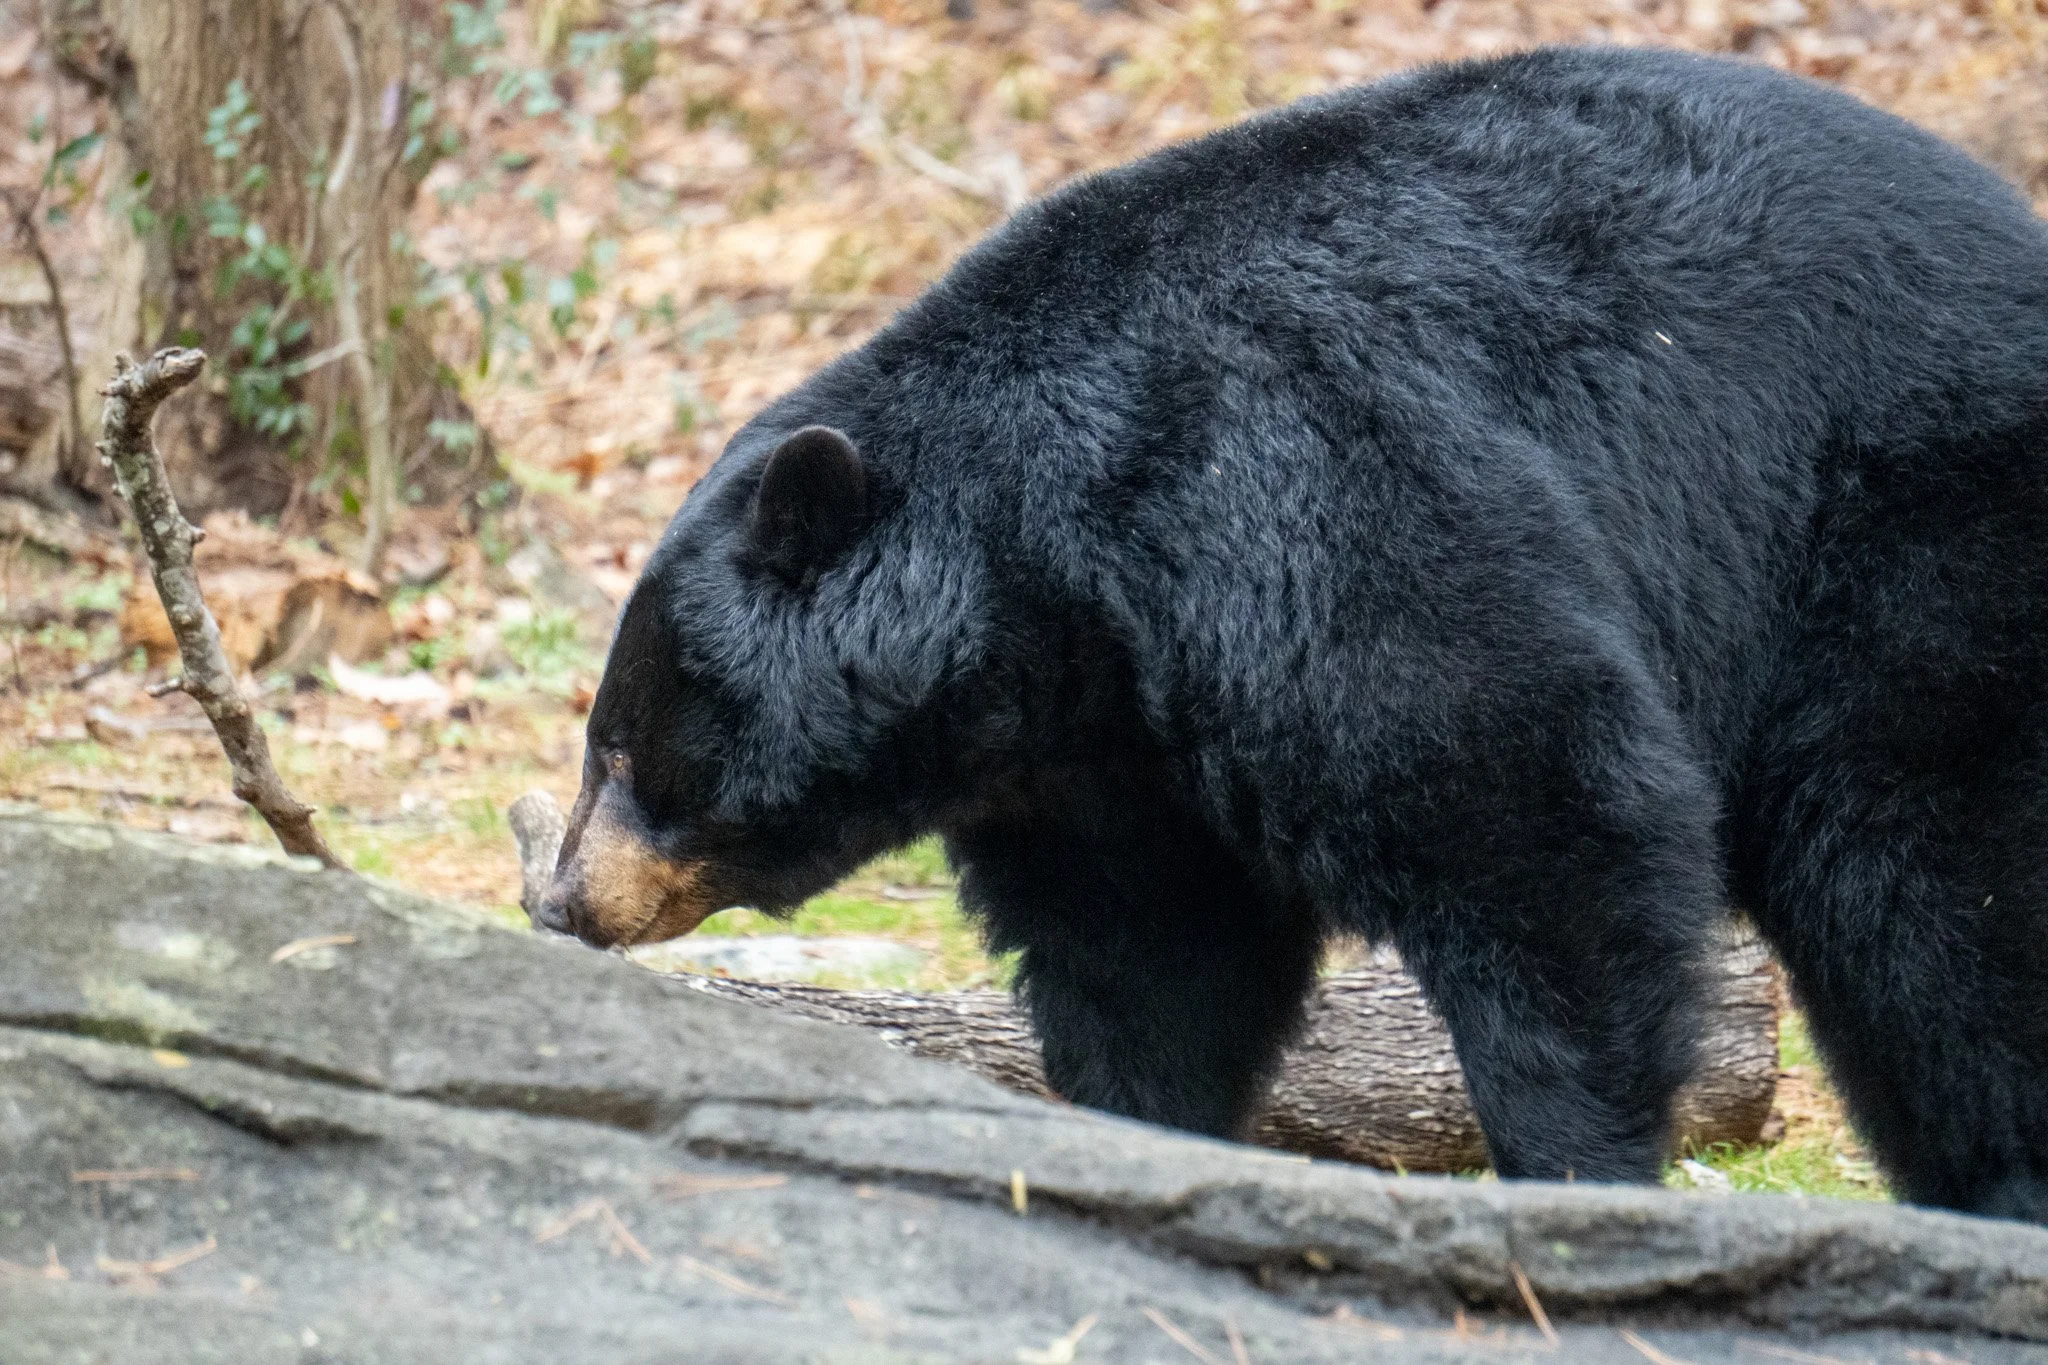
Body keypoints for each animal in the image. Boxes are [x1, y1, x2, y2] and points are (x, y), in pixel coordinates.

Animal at [539, 46, 2048, 1223]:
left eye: (621, 748)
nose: (561, 903)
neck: (1054, 581)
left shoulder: (1299, 489)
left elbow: (1533, 801)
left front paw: (1574, 1174)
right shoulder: (1111, 754)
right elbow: (1150, 949)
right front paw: (1135, 1133)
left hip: (1914, 542)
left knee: (1926, 896)